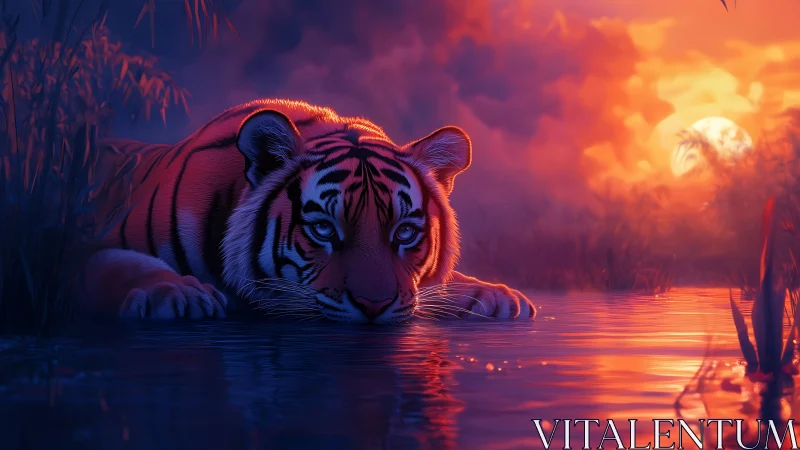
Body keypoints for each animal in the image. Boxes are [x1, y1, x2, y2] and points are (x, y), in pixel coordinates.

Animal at [78, 99, 536, 323]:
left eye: (404, 232)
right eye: (323, 229)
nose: (374, 306)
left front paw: (492, 295)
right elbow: (120, 264)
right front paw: (178, 294)